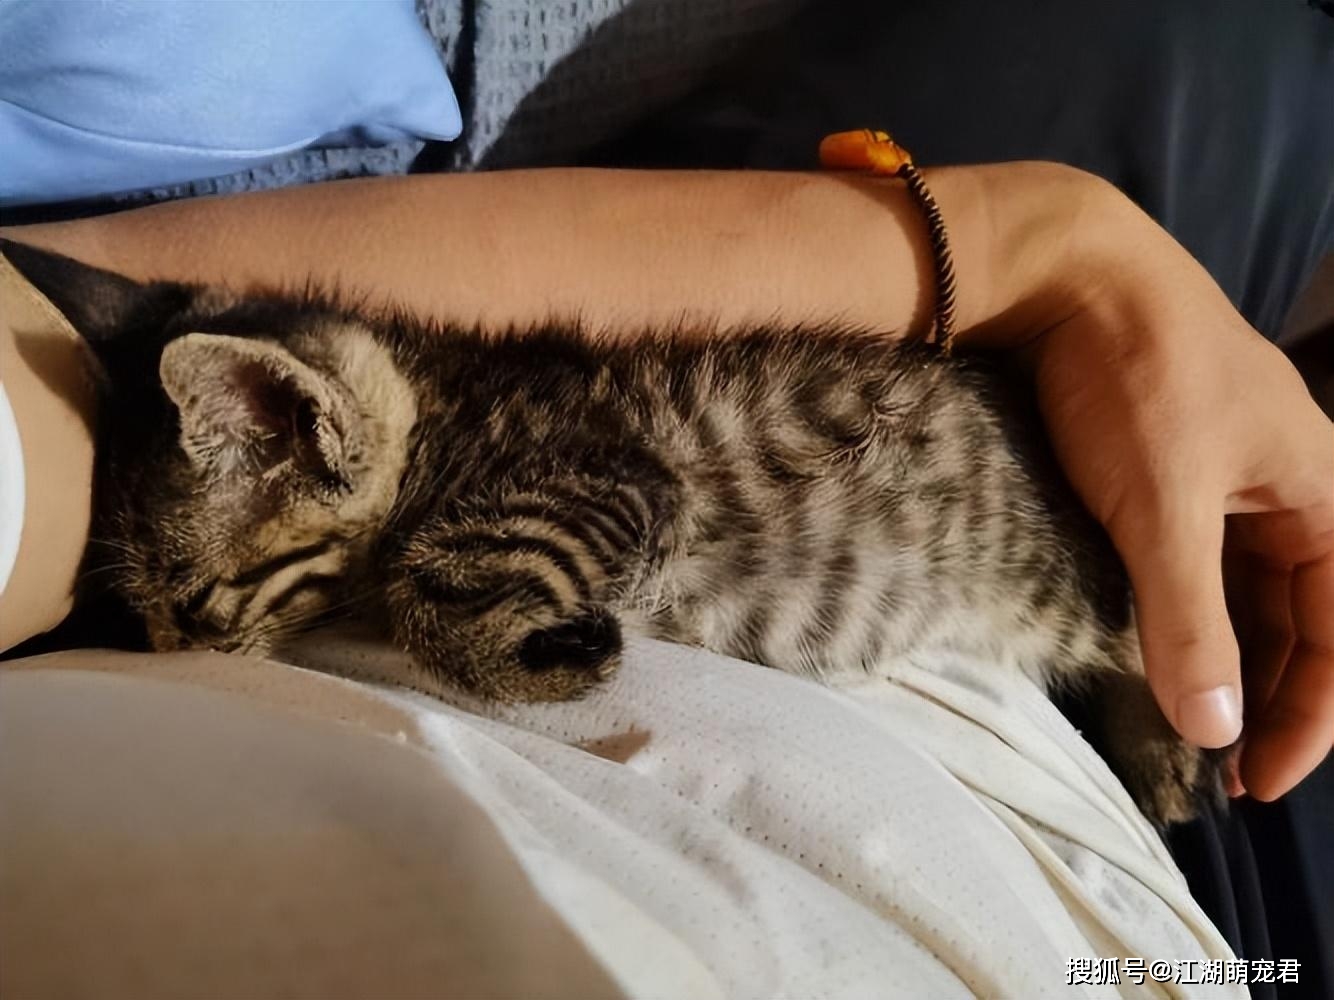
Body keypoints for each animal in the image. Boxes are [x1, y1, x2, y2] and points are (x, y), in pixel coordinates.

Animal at [3, 239, 1220, 827]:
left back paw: (1169, 745)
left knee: (1128, 628)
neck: (446, 405)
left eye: (195, 609)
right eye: (141, 617)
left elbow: (434, 588)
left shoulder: (614, 482)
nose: (168, 660)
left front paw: (558, 658)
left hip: (1058, 578)